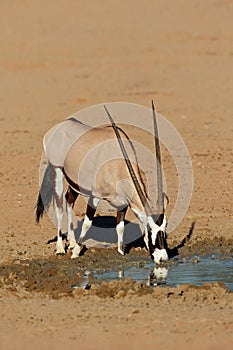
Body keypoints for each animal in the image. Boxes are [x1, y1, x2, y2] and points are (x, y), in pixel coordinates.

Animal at [35, 102, 168, 264]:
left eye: (164, 229)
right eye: (149, 230)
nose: (163, 257)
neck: (118, 163)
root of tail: (57, 128)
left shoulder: (122, 202)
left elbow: (120, 227)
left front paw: (121, 252)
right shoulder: (94, 197)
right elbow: (87, 223)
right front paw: (76, 252)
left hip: (74, 182)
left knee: (69, 200)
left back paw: (71, 242)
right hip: (57, 170)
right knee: (59, 207)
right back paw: (61, 248)